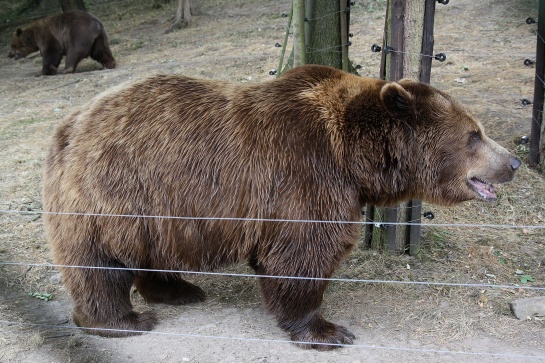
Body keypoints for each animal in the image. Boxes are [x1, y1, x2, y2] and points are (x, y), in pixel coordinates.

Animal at [42, 64, 520, 350]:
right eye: (474, 134)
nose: (512, 162)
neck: (353, 157)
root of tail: (69, 125)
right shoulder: (302, 174)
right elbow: (301, 254)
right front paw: (328, 330)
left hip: (155, 211)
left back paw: (180, 290)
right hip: (117, 190)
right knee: (99, 263)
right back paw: (124, 319)